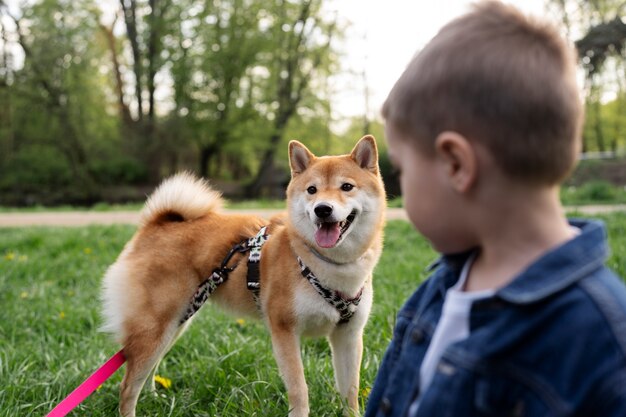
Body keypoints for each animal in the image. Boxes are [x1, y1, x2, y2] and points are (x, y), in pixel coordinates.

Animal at [101, 135, 386, 414]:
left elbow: (350, 392)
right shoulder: (284, 331)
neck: (325, 264)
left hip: (175, 324)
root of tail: (157, 224)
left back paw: (153, 399)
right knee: (128, 386)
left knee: (148, 369)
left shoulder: (348, 335)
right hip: (155, 326)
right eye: (312, 190)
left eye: (347, 187)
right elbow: (299, 390)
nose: (322, 209)